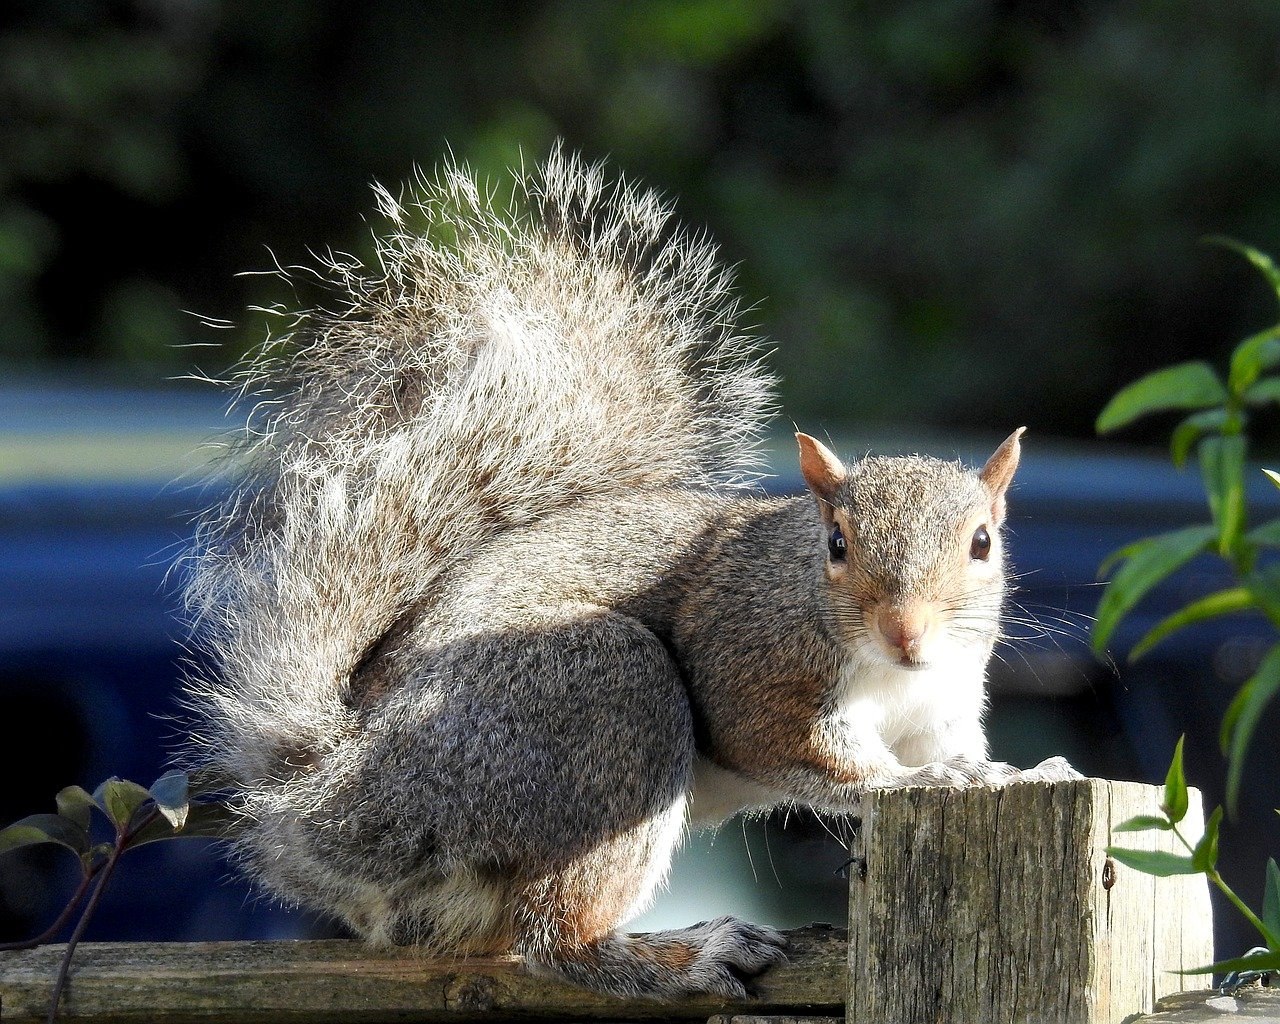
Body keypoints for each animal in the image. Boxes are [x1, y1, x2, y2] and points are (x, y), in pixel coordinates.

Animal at [180, 144, 1080, 998]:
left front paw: (1015, 770)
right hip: (603, 690)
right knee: (555, 935)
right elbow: (801, 751)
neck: (890, 674)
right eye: (835, 544)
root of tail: (334, 793)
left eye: (982, 543)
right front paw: (927, 780)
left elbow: (951, 745)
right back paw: (683, 957)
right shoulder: (750, 665)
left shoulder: (943, 702)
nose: (907, 634)